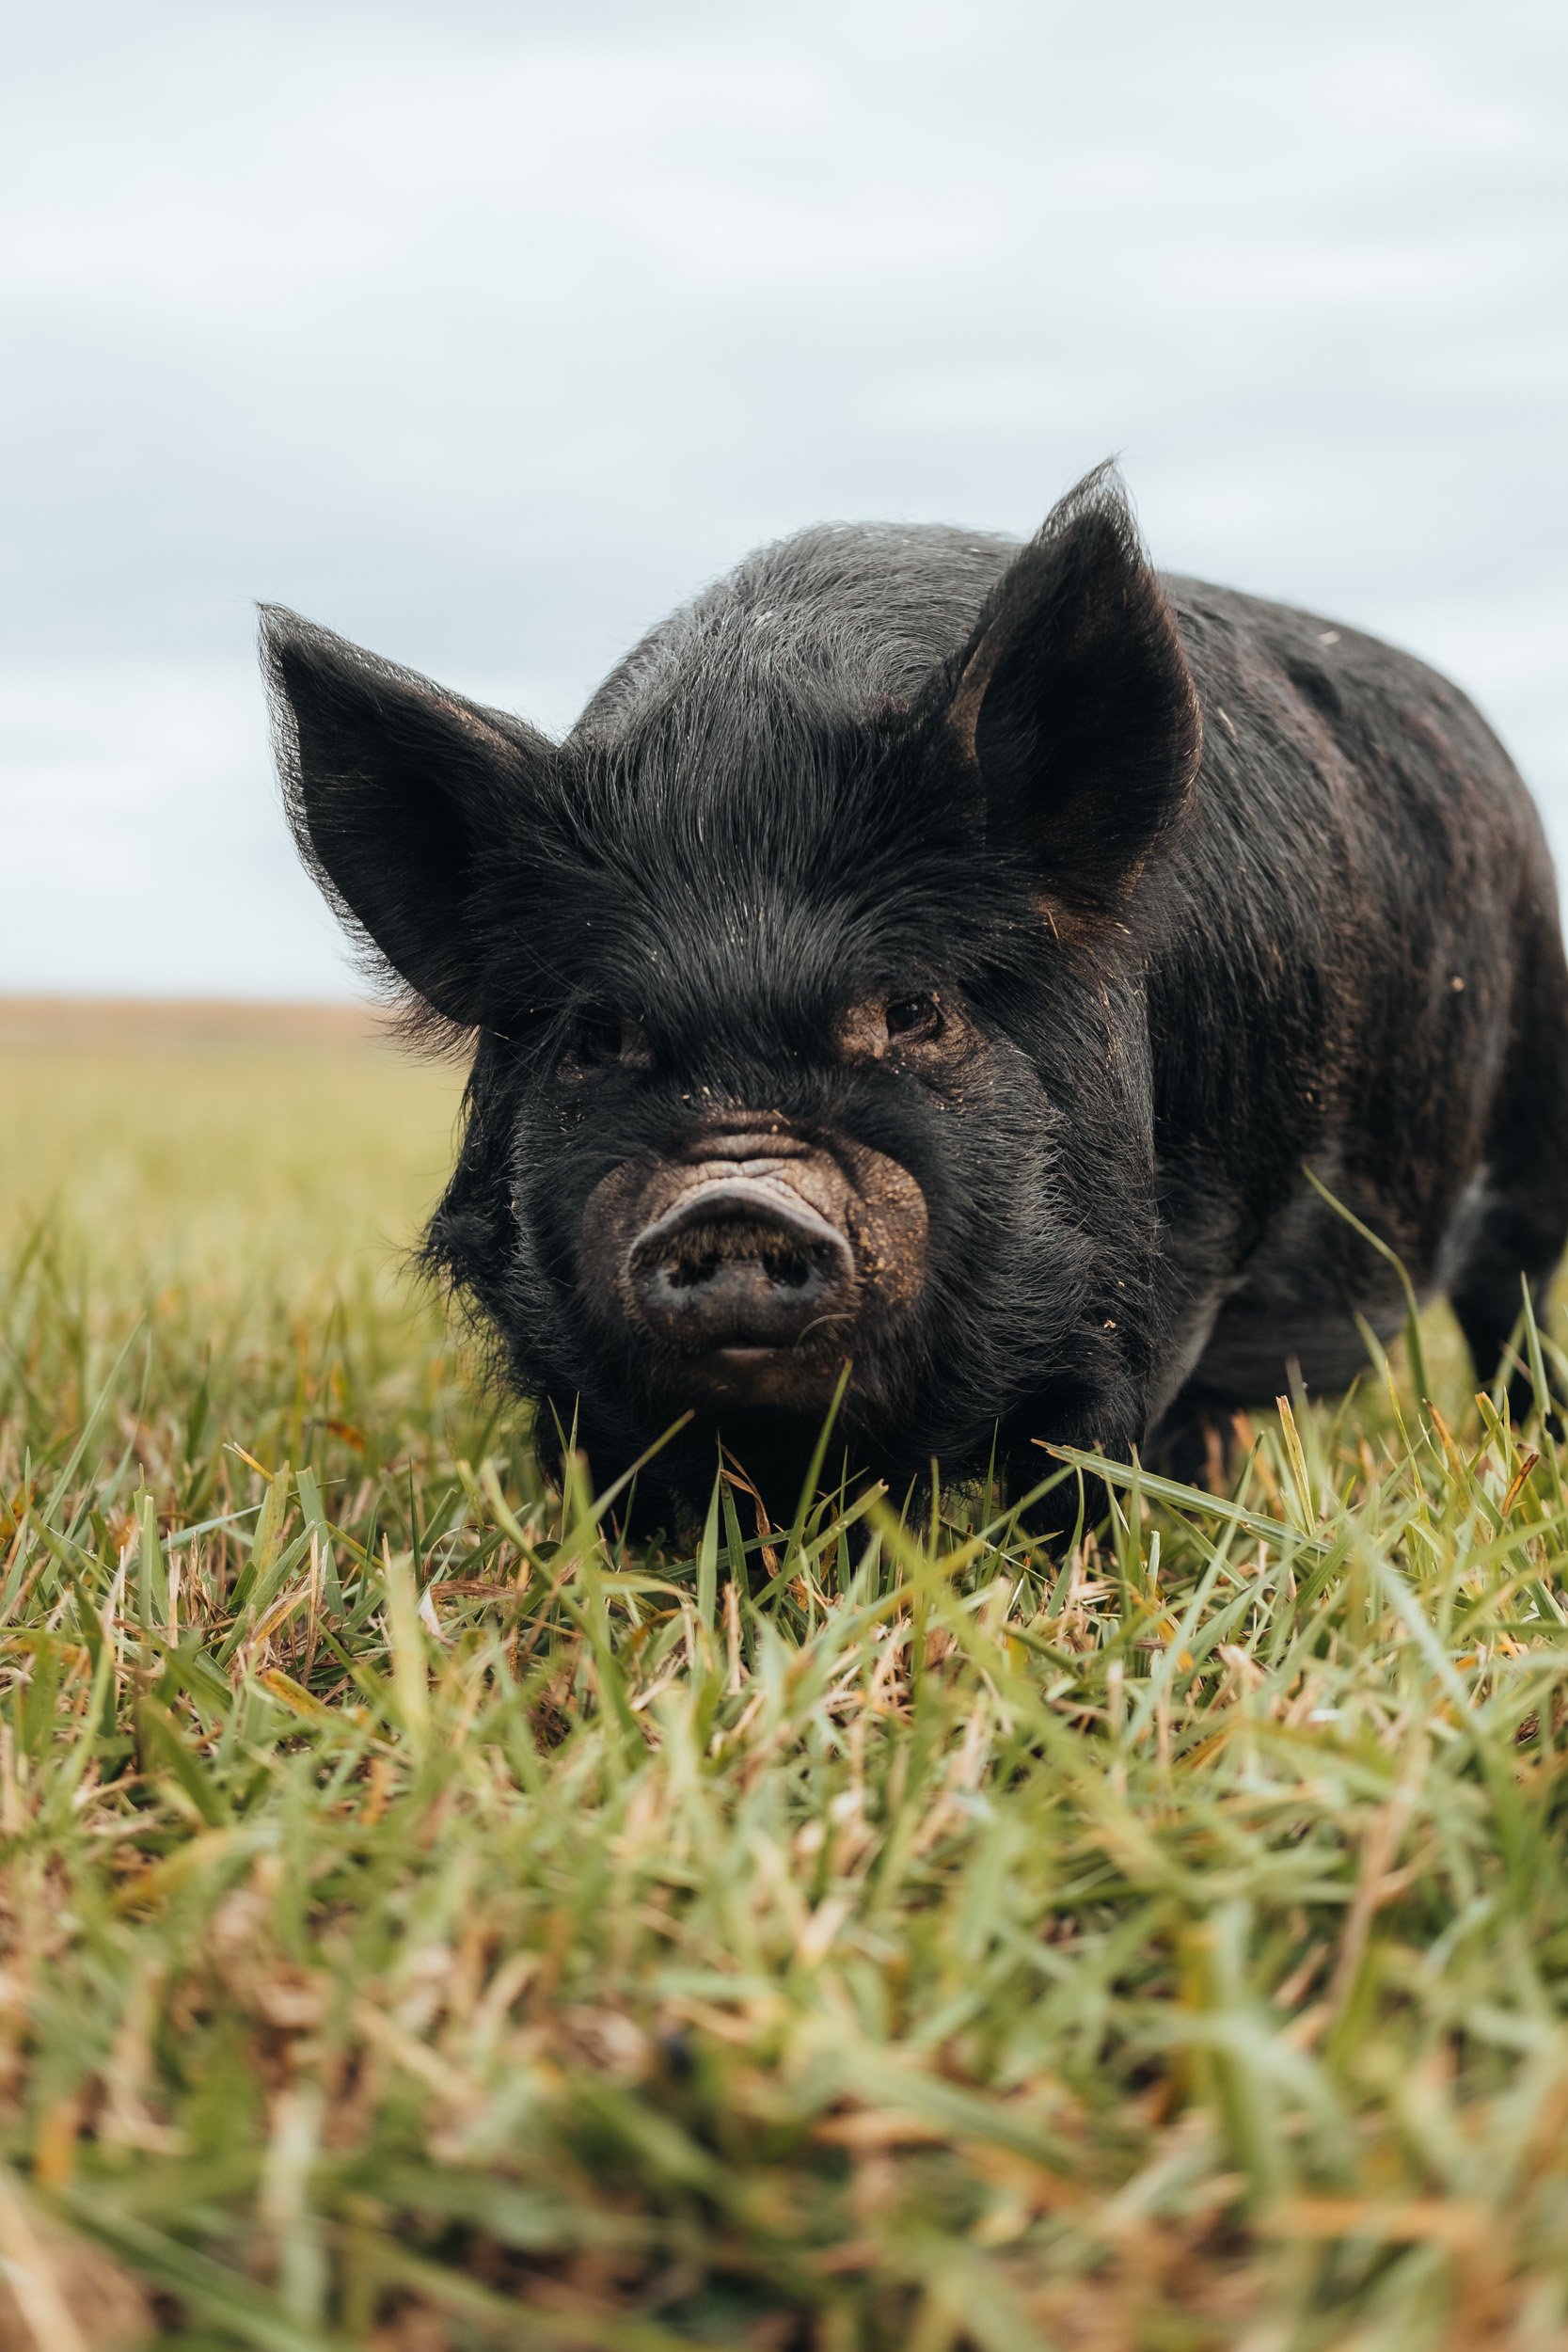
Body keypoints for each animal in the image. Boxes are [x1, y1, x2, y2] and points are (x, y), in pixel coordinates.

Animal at [261, 466, 1568, 1528]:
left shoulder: (1150, 1267)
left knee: (1509, 1310)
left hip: (1528, 1125)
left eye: (910, 1010)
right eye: (597, 1034)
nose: (732, 1195)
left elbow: (1078, 1465)